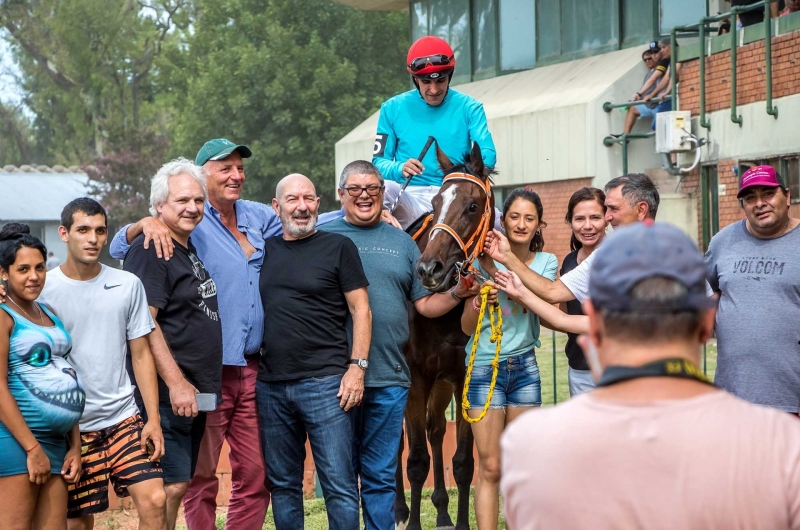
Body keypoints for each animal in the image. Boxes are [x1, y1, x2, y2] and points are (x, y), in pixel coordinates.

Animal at [394, 141, 494, 528]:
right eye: (436, 203)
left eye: (472, 205)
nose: (428, 269)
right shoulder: (415, 377)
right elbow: (416, 460)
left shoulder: (463, 375)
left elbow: (463, 461)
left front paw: (459, 519)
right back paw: (399, 511)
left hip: (443, 383)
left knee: (436, 430)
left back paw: (440, 510)